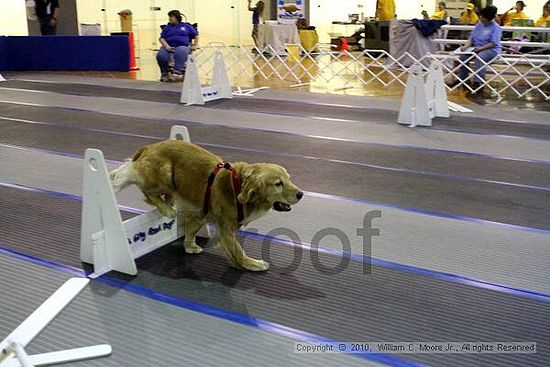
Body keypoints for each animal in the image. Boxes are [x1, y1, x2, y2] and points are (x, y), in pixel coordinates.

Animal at [110, 139, 304, 272]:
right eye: (278, 184)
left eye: (289, 179)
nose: (301, 194)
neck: (237, 187)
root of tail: (148, 146)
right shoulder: (226, 228)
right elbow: (238, 250)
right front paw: (252, 264)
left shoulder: (202, 213)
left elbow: (191, 229)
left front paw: (189, 245)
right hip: (164, 174)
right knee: (147, 190)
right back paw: (166, 208)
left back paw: (169, 202)